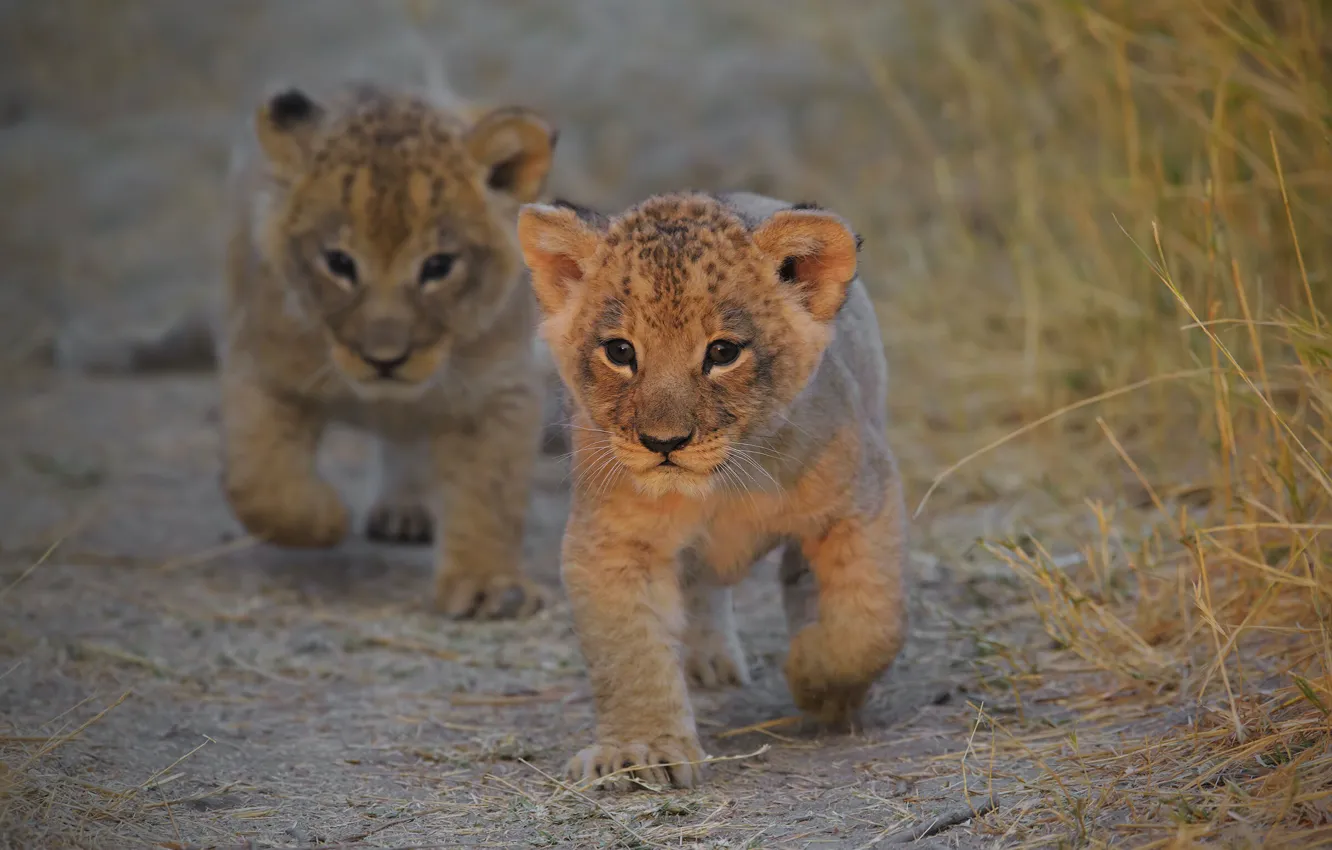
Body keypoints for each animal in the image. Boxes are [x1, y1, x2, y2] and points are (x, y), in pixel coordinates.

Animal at [516, 191, 908, 789]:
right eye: (620, 351)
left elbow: (867, 623)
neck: (722, 486)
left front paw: (814, 677)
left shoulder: (863, 500)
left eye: (723, 353)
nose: (664, 442)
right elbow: (629, 653)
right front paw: (641, 750)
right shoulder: (612, 543)